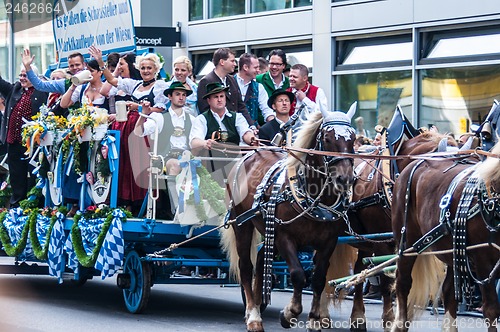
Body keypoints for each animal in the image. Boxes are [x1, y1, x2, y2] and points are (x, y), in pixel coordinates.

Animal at [222, 107, 356, 332]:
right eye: (327, 138)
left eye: (353, 139)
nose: (345, 179)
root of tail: (248, 155)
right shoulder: (284, 236)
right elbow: (298, 274)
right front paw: (289, 313)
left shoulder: (329, 242)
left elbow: (318, 279)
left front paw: (314, 319)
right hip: (242, 224)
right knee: (246, 267)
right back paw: (253, 315)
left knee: (261, 260)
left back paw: (257, 304)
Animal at [390, 145, 500, 330]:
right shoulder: (483, 261)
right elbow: (491, 309)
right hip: (406, 243)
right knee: (403, 283)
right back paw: (400, 325)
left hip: (453, 252)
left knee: (449, 292)